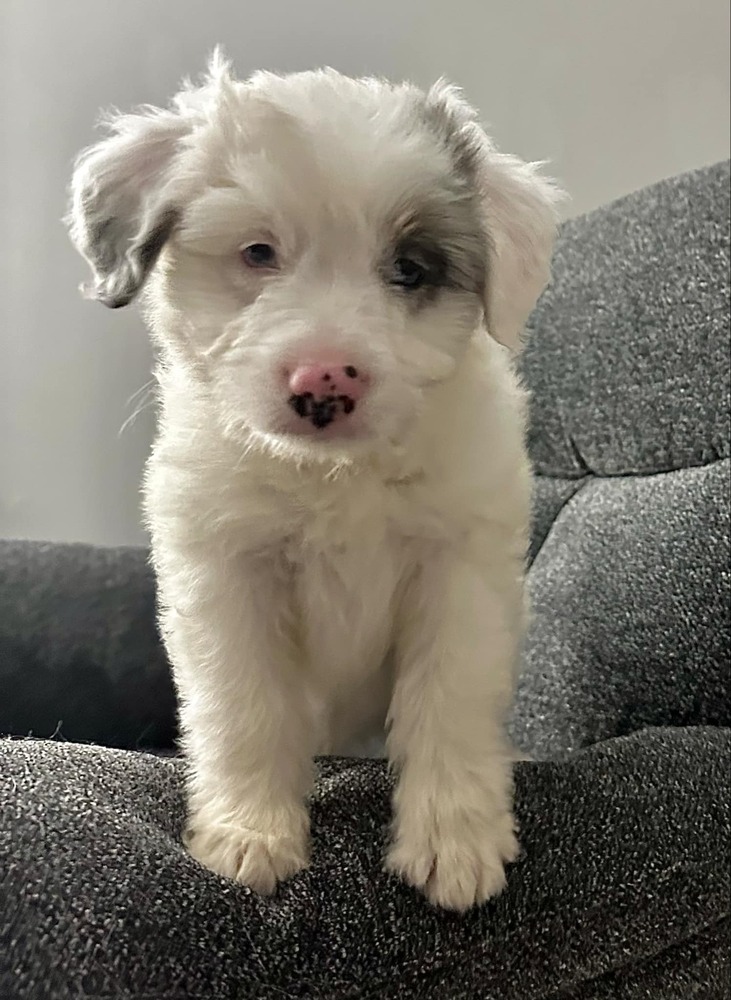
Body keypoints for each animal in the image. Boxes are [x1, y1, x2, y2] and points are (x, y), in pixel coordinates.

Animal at [67, 56, 560, 916]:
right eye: (258, 252)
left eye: (410, 269)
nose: (324, 379)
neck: (339, 477)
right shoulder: (225, 573)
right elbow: (244, 706)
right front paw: (249, 833)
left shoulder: (461, 570)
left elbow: (449, 698)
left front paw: (454, 839)